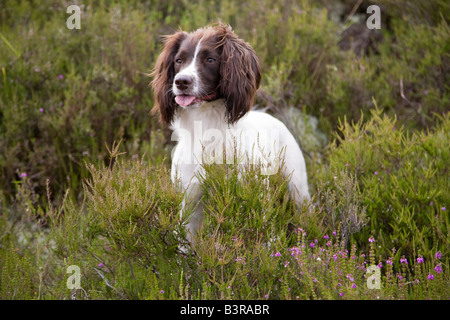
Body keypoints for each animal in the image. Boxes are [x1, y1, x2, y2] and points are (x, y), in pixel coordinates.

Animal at [151, 23, 310, 241]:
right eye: (178, 60)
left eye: (210, 59)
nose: (181, 82)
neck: (207, 126)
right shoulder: (190, 200)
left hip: (297, 188)